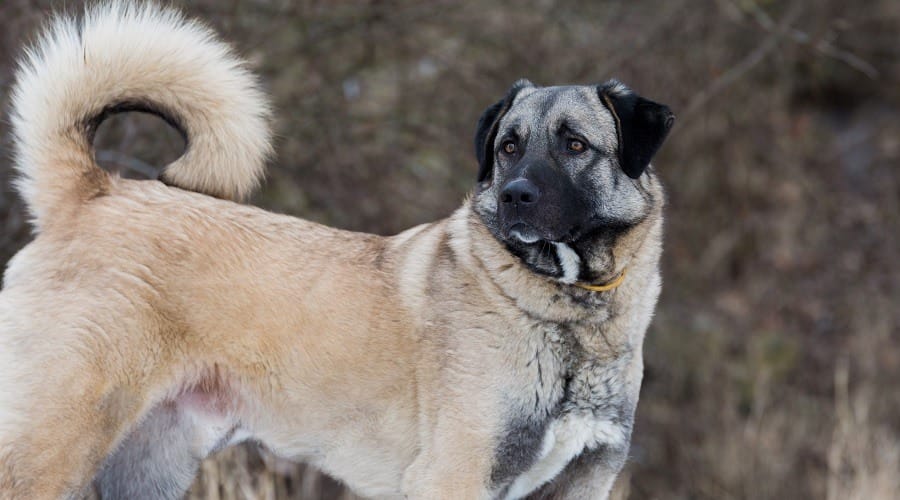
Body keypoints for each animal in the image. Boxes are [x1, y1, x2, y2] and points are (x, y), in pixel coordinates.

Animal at [1, 3, 676, 500]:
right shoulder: (453, 476)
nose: (513, 197)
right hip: (53, 445)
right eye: (508, 146)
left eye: (574, 144)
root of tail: (93, 192)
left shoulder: (582, 482)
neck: (569, 314)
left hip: (146, 466)